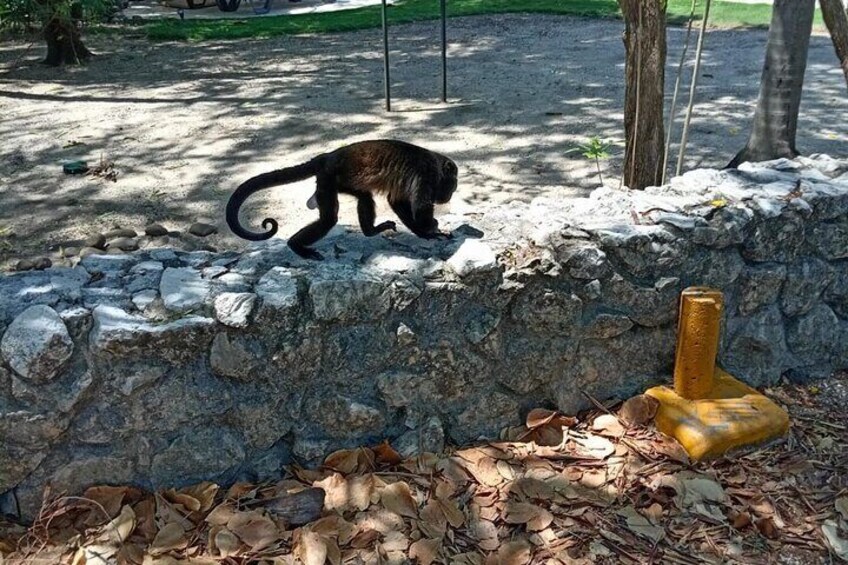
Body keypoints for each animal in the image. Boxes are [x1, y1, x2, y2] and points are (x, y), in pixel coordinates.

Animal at [227, 140, 458, 258]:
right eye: (453, 186)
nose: (447, 197)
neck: (436, 164)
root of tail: (325, 157)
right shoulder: (426, 174)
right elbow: (419, 210)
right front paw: (431, 229)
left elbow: (396, 201)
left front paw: (424, 233)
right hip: (327, 178)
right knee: (328, 219)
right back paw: (295, 246)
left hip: (341, 181)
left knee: (364, 197)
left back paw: (370, 231)